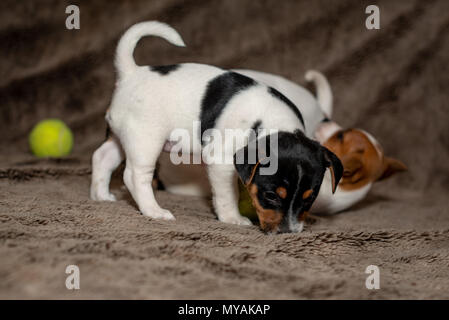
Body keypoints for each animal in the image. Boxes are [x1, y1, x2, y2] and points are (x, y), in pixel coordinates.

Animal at [92, 21, 344, 234]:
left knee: (102, 157)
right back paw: (154, 211)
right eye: (271, 195)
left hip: (121, 135)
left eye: (309, 198)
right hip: (145, 138)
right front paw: (232, 218)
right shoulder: (221, 162)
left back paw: (101, 196)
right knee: (134, 175)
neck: (271, 123)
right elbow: (227, 194)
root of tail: (131, 73)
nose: (288, 232)